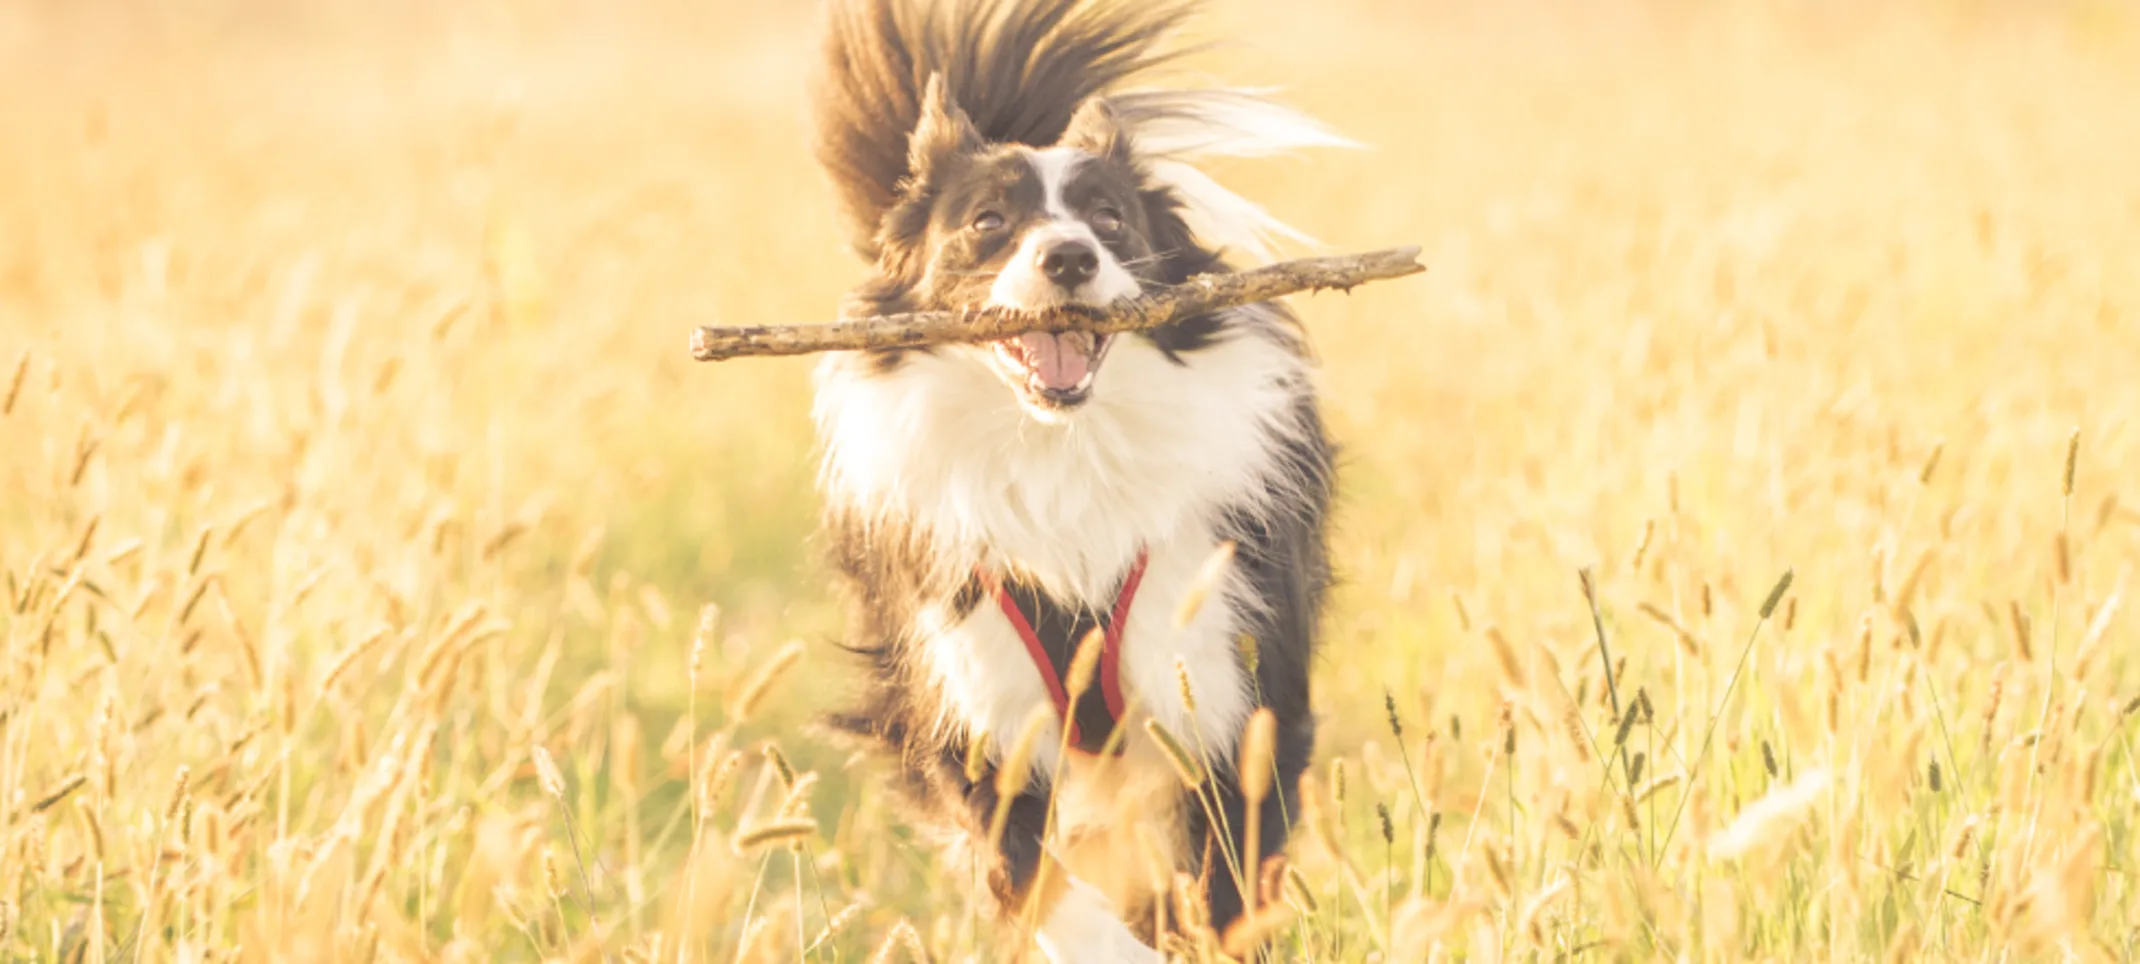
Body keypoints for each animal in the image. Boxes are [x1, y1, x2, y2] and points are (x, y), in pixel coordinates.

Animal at [808, 0, 1343, 955]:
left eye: (1110, 219)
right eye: (987, 221)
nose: (1069, 258)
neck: (1062, 453)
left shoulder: (1233, 699)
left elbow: (1224, 895)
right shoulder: (972, 715)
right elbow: (1034, 882)